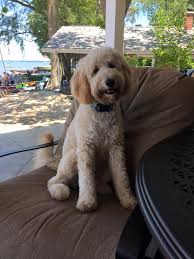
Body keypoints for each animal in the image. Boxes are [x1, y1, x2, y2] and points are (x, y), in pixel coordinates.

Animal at [36, 47, 136, 212]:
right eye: (95, 71)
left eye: (112, 65)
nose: (110, 81)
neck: (101, 110)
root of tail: (57, 162)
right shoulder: (86, 149)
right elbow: (86, 178)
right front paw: (87, 201)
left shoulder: (116, 148)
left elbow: (121, 176)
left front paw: (127, 198)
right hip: (72, 158)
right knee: (53, 181)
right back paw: (59, 191)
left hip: (104, 167)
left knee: (97, 180)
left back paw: (102, 188)